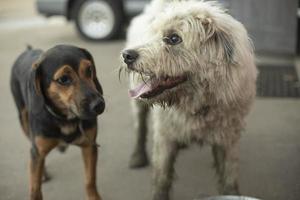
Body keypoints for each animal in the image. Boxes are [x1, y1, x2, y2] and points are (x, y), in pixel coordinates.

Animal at [9, 45, 105, 200]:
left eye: (89, 70)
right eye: (63, 79)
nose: (99, 105)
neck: (65, 119)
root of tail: (28, 50)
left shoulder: (89, 146)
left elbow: (90, 180)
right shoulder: (38, 151)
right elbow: (35, 189)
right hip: (23, 120)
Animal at [120, 0, 256, 199]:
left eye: (174, 38)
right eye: (154, 33)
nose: (127, 55)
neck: (197, 102)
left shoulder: (228, 140)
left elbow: (229, 178)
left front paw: (231, 192)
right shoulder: (164, 138)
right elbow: (162, 177)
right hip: (138, 103)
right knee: (140, 127)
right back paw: (137, 156)